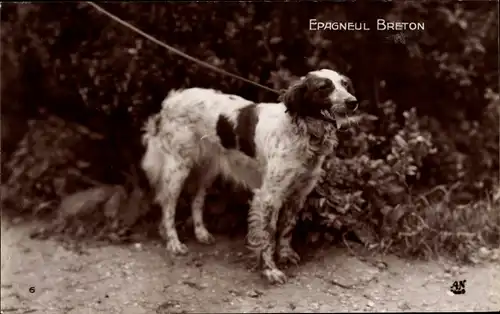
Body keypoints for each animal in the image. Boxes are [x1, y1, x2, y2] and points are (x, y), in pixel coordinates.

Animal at [143, 68, 358, 284]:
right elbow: (268, 235)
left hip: (207, 171)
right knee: (168, 206)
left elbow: (287, 228)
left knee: (196, 200)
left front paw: (285, 254)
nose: (353, 102)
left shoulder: (298, 194)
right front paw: (270, 270)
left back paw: (201, 233)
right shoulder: (269, 196)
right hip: (177, 168)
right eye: (323, 87)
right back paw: (173, 242)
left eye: (345, 84)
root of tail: (172, 98)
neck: (302, 133)